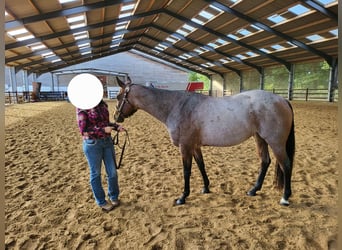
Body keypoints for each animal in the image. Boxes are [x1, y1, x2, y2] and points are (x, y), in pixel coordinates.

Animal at [114, 77, 294, 206]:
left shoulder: (185, 147)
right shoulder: (194, 146)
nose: (116, 118)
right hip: (260, 138)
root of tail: (281, 99)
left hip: (276, 142)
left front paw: (182, 197)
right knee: (265, 161)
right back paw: (253, 190)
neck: (176, 106)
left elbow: (187, 171)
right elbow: (201, 165)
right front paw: (206, 187)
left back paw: (285, 198)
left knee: (286, 165)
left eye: (118, 96)